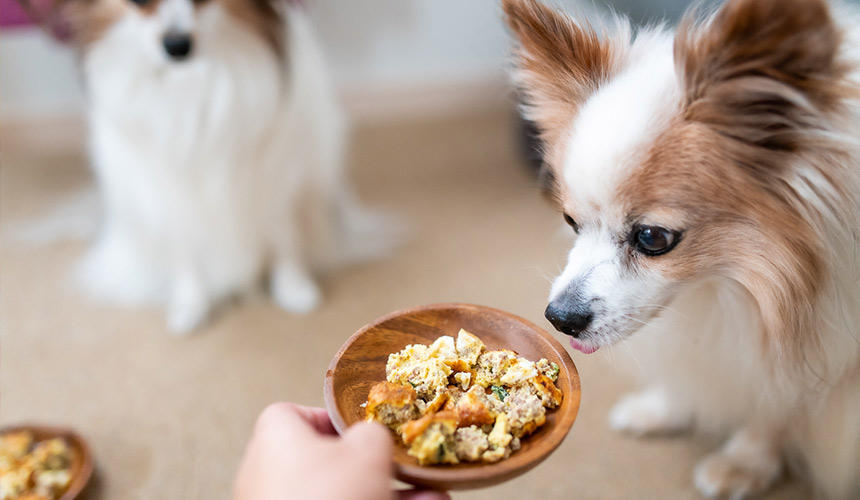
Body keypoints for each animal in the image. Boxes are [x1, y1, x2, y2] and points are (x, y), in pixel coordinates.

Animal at [43, 0, 396, 336]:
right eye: (139, 1)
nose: (177, 45)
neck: (193, 82)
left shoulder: (280, 175)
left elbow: (284, 238)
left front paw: (294, 290)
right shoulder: (166, 188)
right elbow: (185, 250)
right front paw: (190, 306)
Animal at [504, 0, 860, 498]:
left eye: (653, 238)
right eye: (571, 222)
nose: (559, 318)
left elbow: (777, 400)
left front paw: (745, 460)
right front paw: (663, 409)